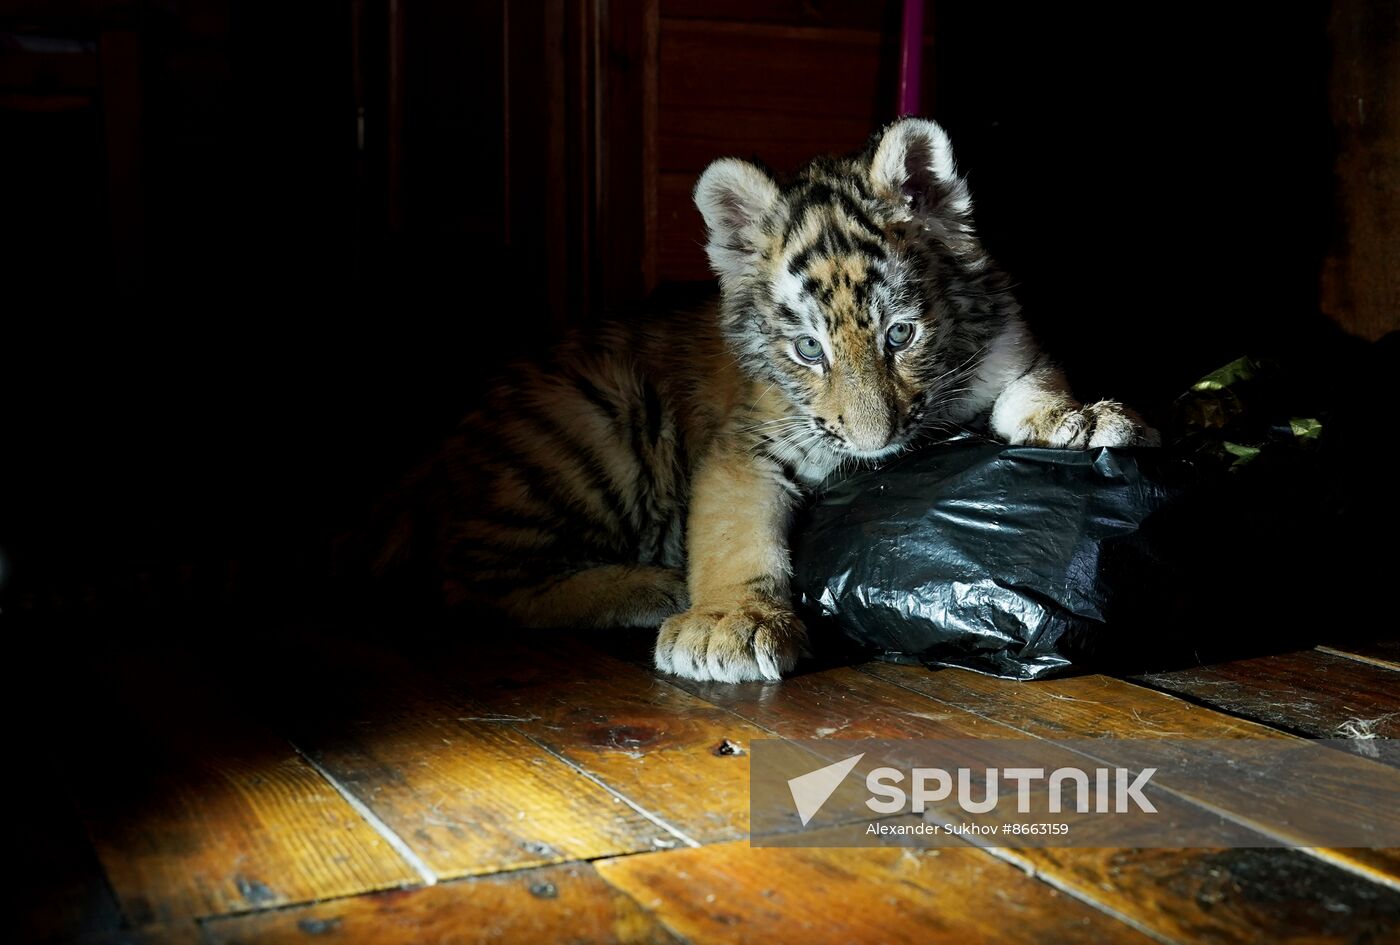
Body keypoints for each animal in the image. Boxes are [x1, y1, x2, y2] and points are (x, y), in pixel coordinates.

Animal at [387, 117, 1158, 683]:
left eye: (900, 333)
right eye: (810, 350)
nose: (876, 442)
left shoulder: (1012, 346)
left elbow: (1036, 384)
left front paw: (1078, 418)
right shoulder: (745, 447)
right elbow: (736, 536)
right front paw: (728, 624)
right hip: (595, 426)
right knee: (475, 589)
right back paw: (654, 588)